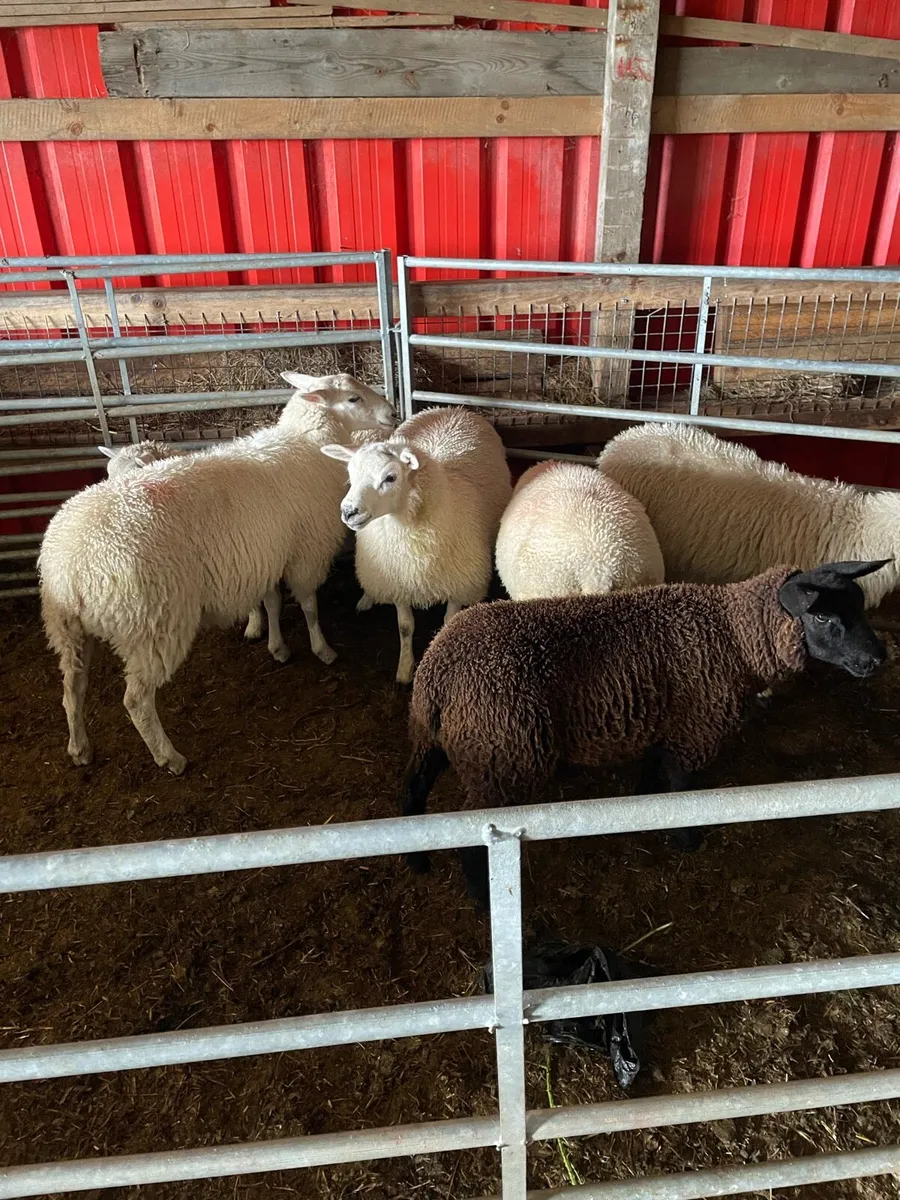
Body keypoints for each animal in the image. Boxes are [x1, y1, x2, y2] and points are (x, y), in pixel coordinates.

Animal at [39, 371, 395, 775]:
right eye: (353, 398)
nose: (392, 413)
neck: (306, 445)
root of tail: (71, 569)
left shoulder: (265, 552)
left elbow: (272, 602)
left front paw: (277, 646)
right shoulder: (305, 550)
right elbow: (308, 606)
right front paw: (323, 649)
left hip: (67, 628)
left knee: (73, 688)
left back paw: (79, 748)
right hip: (151, 624)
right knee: (136, 700)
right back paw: (170, 757)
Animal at [322, 407, 512, 685]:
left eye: (390, 477)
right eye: (350, 475)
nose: (348, 512)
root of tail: (451, 409)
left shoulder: (457, 583)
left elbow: (447, 622)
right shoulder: (398, 580)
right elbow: (405, 627)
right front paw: (404, 670)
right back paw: (367, 598)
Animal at [403, 560, 888, 905]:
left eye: (860, 608)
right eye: (822, 617)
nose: (878, 658)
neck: (734, 636)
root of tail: (439, 669)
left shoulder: (667, 721)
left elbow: (656, 772)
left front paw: (644, 807)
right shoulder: (697, 728)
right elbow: (684, 788)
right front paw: (688, 841)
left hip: (437, 740)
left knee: (412, 791)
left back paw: (415, 861)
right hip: (502, 753)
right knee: (469, 835)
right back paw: (482, 899)